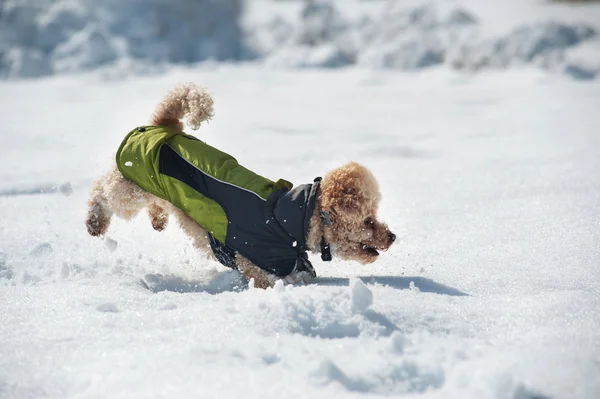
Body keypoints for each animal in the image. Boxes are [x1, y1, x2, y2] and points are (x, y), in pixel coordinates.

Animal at [83, 83, 394, 290]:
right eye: (368, 220)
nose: (392, 236)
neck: (290, 223)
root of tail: (166, 126)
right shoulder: (255, 262)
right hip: (131, 183)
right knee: (103, 193)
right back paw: (94, 222)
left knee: (156, 203)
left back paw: (158, 220)